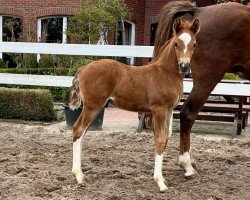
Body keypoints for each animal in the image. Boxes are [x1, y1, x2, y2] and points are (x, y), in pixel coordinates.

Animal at [69, 19, 200, 192]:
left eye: (194, 44)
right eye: (176, 44)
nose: (184, 65)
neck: (165, 73)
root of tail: (83, 68)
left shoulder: (168, 111)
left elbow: (165, 139)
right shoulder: (159, 110)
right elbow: (160, 140)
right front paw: (160, 182)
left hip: (96, 107)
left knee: (82, 133)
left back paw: (80, 173)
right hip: (92, 106)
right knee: (78, 130)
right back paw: (78, 176)